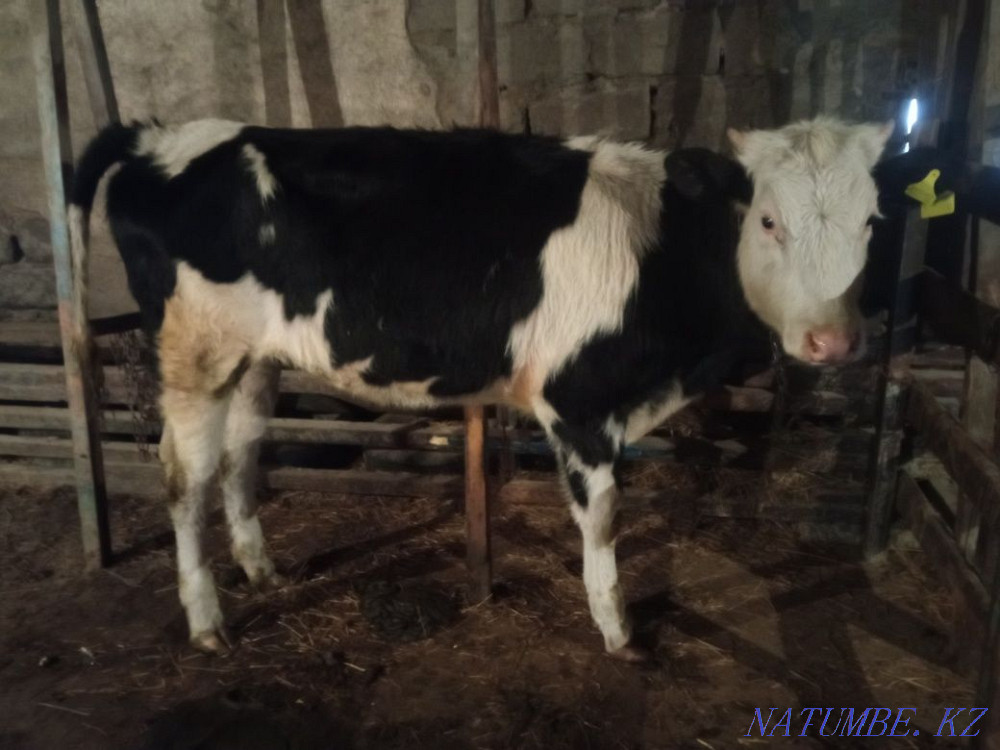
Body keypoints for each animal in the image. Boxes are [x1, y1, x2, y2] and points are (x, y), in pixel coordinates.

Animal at [69, 116, 891, 661]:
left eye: (872, 221)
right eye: (769, 220)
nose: (835, 340)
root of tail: (163, 136)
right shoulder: (579, 402)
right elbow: (603, 520)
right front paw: (618, 630)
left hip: (254, 359)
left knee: (242, 454)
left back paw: (261, 569)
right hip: (195, 352)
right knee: (184, 477)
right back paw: (206, 619)